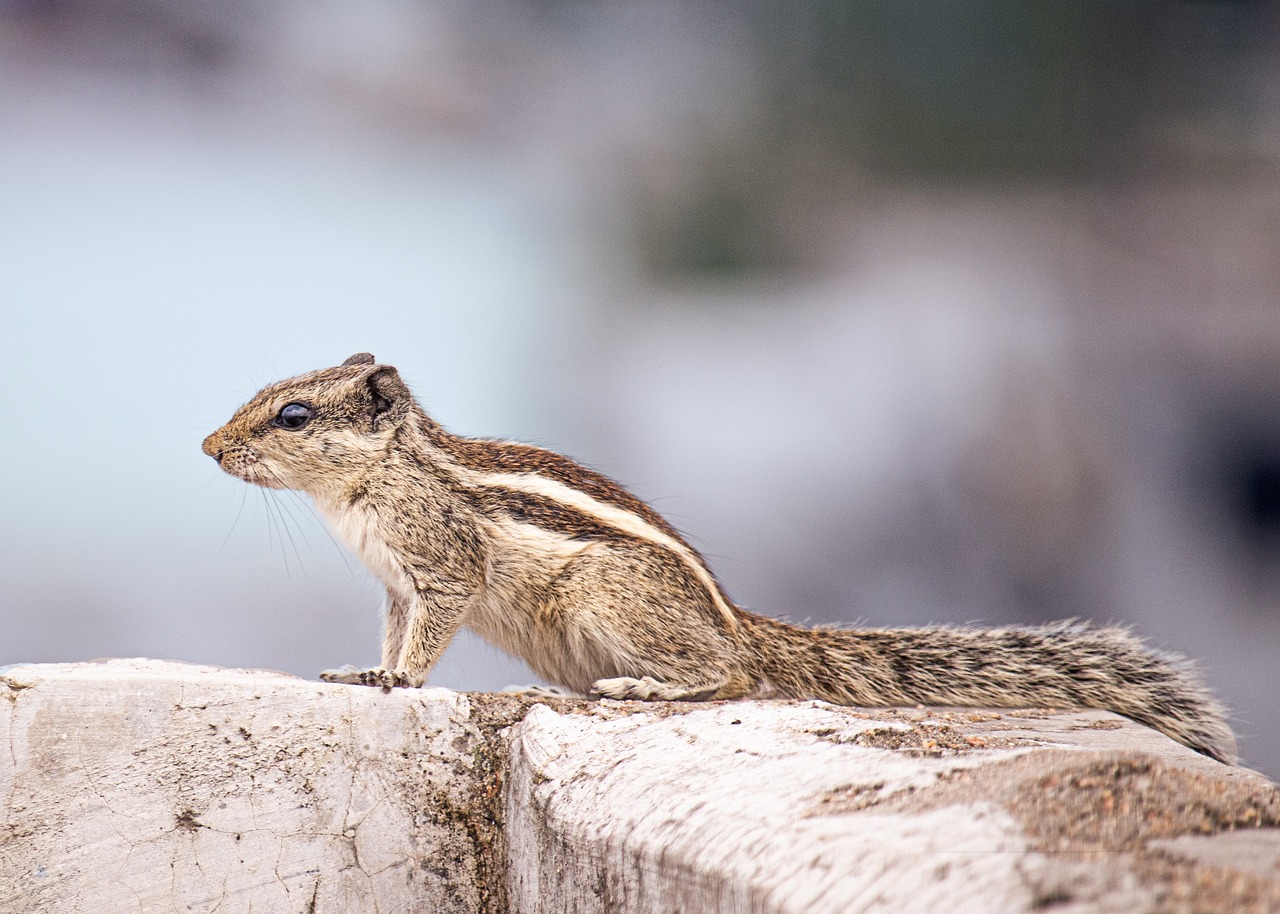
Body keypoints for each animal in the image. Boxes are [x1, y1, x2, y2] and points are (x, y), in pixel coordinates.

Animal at [202, 353, 1239, 762]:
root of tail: (740, 619)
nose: (209, 447)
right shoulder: (393, 583)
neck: (372, 483)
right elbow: (388, 633)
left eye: (293, 414)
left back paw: (646, 686)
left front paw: (400, 682)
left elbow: (428, 637)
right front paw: (363, 671)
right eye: (269, 395)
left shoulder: (442, 567)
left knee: (728, 675)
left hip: (607, 600)